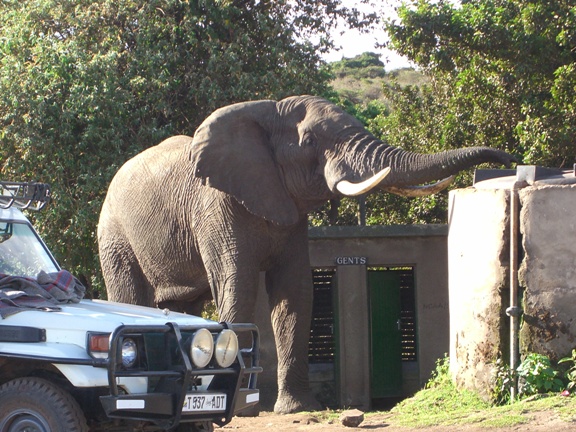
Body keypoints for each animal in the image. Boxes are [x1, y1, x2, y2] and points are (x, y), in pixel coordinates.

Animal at [97, 95, 516, 416]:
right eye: (311, 140)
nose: (507, 157)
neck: (267, 112)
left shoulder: (292, 213)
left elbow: (294, 292)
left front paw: (296, 409)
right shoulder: (216, 207)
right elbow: (239, 286)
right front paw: (240, 407)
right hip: (114, 234)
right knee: (130, 297)